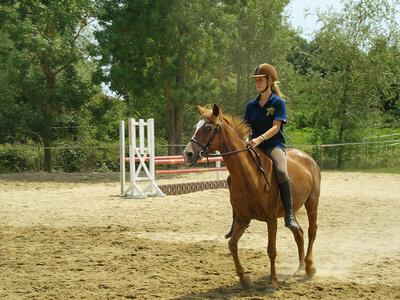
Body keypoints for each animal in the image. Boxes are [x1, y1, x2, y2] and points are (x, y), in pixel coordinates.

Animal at [183, 104, 320, 292]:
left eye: (208, 128)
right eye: (195, 128)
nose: (187, 154)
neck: (250, 175)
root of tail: (307, 157)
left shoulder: (271, 219)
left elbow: (271, 250)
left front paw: (272, 282)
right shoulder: (243, 218)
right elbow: (232, 245)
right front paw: (244, 279)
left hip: (312, 203)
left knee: (311, 231)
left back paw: (309, 267)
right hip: (288, 212)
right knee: (298, 232)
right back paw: (299, 268)